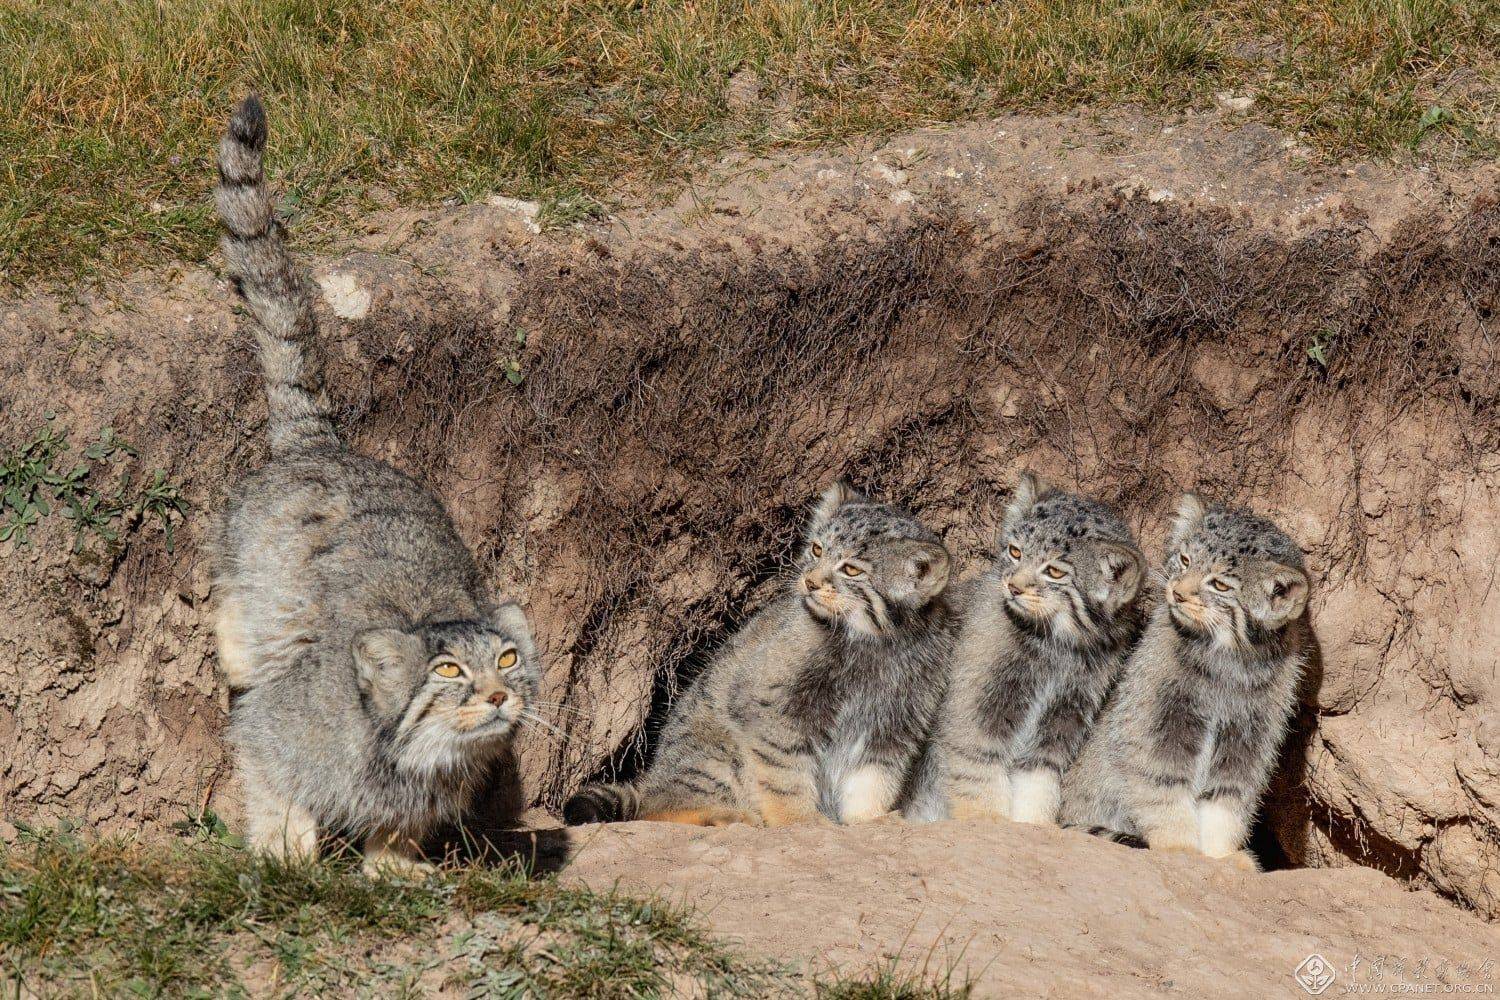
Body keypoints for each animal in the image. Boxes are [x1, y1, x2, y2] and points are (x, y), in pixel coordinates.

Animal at [211, 95, 540, 875]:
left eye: (509, 659)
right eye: (447, 672)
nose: (498, 696)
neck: (414, 757)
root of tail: (324, 443)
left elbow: (397, 828)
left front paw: (394, 867)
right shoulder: (272, 732)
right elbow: (275, 788)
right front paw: (286, 853)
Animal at [567, 485, 954, 827]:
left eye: (851, 569)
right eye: (817, 549)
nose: (810, 582)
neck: (871, 643)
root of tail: (657, 775)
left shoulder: (893, 724)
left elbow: (872, 780)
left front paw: (869, 820)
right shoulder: (771, 706)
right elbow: (785, 777)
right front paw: (801, 821)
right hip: (714, 755)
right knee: (658, 805)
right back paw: (725, 815)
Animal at [906, 473, 1140, 827]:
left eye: (1054, 571)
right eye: (1015, 552)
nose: (1013, 586)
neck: (1056, 646)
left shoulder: (1059, 721)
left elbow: (1038, 787)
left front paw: (1034, 823)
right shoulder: (975, 714)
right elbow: (978, 779)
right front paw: (985, 819)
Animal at [1056, 497, 1314, 869]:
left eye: (1220, 584)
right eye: (1186, 559)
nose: (1177, 593)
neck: (1227, 665)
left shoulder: (1248, 741)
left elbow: (1227, 802)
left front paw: (1222, 855)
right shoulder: (1156, 726)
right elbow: (1164, 790)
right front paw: (1180, 847)